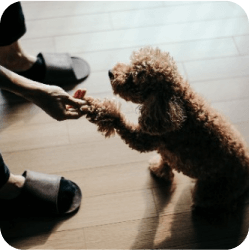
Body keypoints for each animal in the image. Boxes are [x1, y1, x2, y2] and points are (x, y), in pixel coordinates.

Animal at [79, 47, 249, 213]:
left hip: (212, 188)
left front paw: (101, 109)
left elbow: (120, 122)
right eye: (132, 63)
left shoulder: (149, 138)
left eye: (135, 77)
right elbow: (165, 159)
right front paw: (160, 169)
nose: (110, 72)